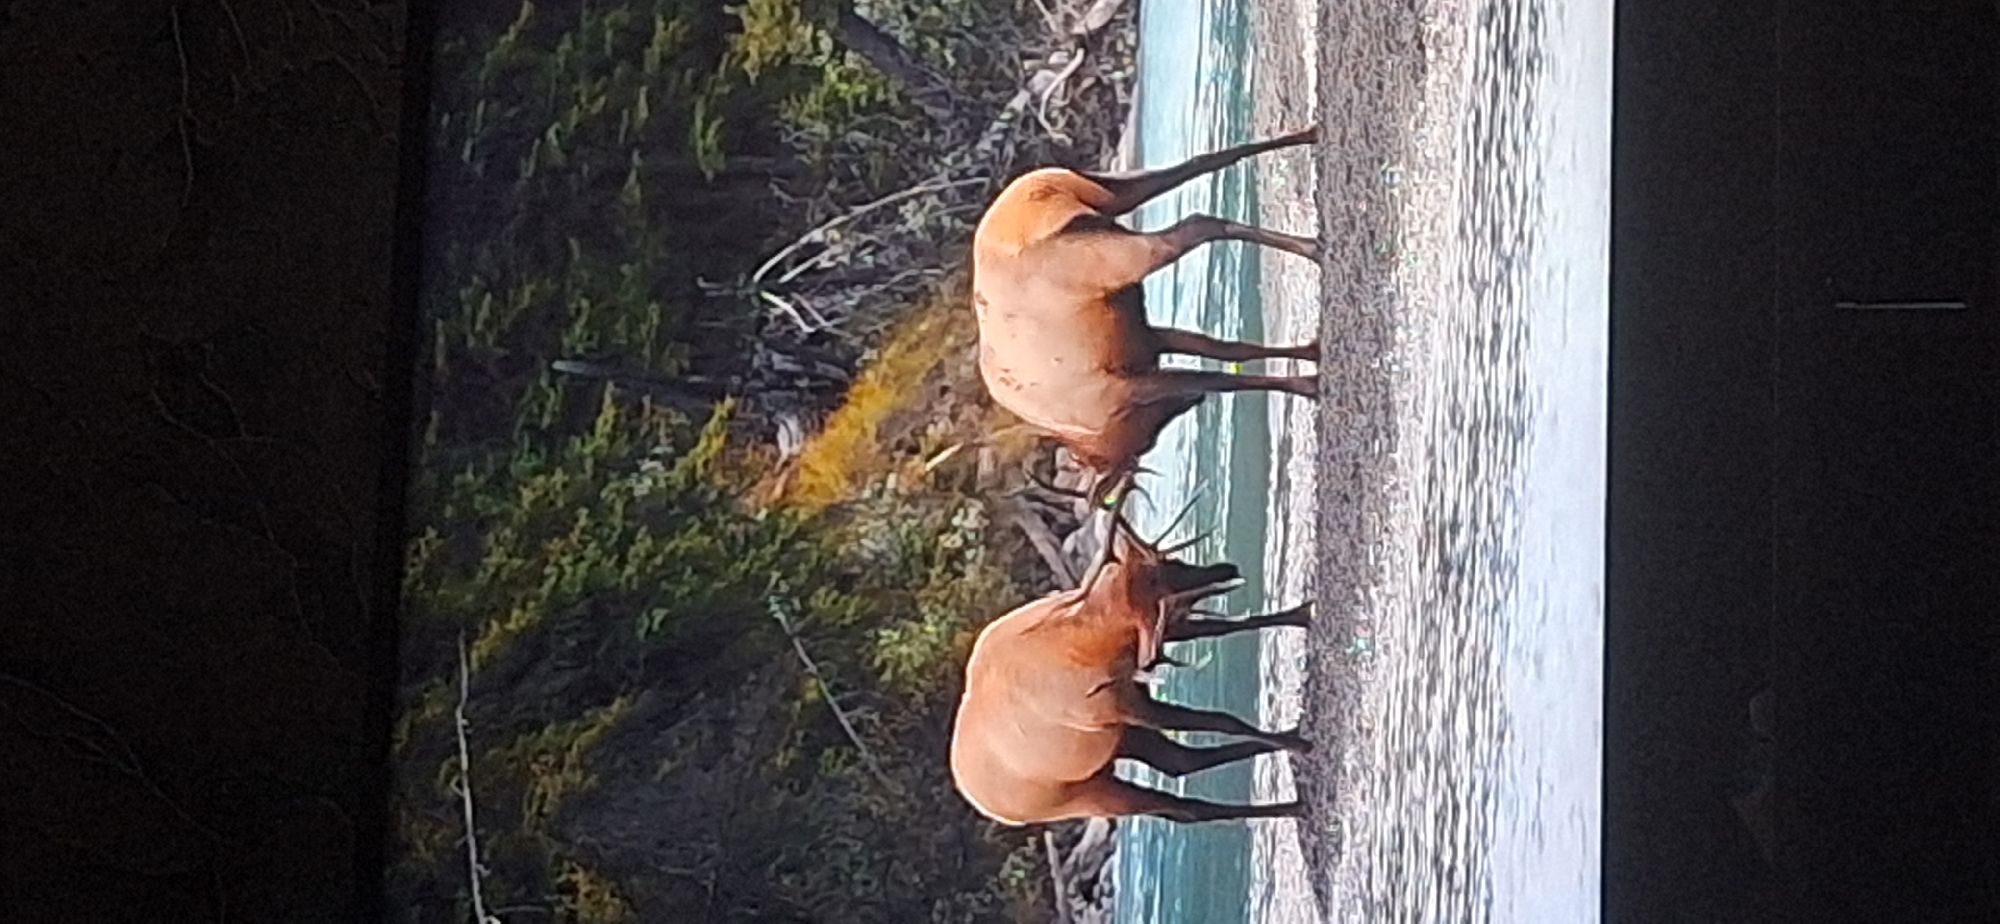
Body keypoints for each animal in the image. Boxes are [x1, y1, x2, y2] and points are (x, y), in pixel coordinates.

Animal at [948, 503, 1316, 827]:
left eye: (1170, 560)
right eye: (1157, 580)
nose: (1226, 569)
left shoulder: (1144, 663)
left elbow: (1228, 627)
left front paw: (1302, 614)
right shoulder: (1131, 706)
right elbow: (1222, 720)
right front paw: (1299, 745)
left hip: (1116, 744)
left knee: (1180, 761)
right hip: (1091, 792)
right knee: (1185, 807)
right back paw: (1293, 804)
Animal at [969, 125, 1325, 506]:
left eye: (1144, 442)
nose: (1190, 403)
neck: (1090, 432)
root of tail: (1032, 200)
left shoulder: (1129, 386)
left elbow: (1219, 379)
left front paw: (1309, 385)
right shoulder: (1147, 337)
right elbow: (1230, 351)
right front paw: (1311, 353)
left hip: (1112, 252)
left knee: (1200, 223)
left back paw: (1311, 244)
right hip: (1110, 195)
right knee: (1199, 165)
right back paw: (1307, 140)